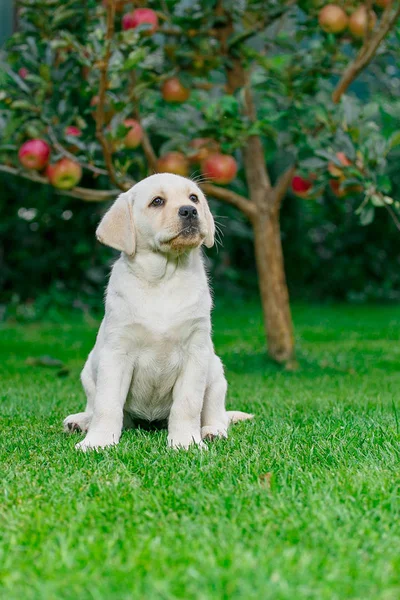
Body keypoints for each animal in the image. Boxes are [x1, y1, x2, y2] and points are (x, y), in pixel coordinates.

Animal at [64, 173, 253, 450]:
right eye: (157, 201)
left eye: (193, 198)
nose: (190, 210)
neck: (163, 279)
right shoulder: (117, 352)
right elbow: (107, 404)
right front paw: (97, 442)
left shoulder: (195, 352)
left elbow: (187, 405)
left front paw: (186, 442)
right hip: (89, 372)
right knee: (96, 406)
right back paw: (81, 422)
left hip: (215, 374)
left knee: (216, 413)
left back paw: (212, 431)